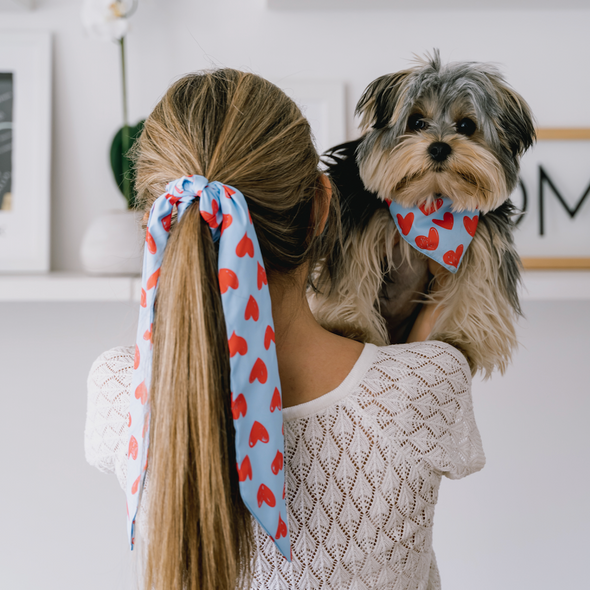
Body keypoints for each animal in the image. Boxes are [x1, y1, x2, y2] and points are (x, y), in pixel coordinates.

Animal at [314, 48, 536, 376]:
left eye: (466, 126)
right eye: (417, 122)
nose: (439, 148)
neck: (430, 199)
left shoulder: (483, 236)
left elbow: (477, 284)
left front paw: (461, 339)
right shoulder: (358, 219)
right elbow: (352, 271)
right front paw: (350, 327)